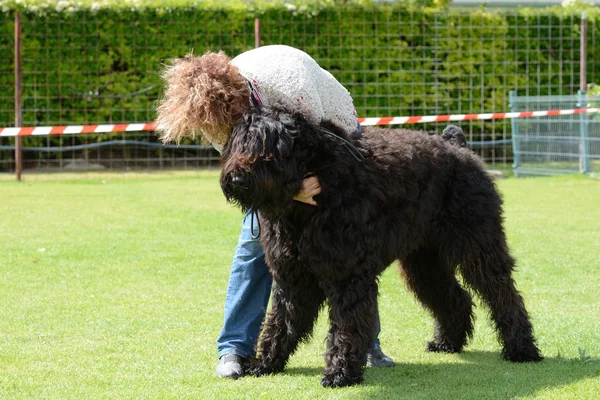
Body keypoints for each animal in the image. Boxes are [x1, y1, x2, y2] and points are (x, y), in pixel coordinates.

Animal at [220, 106, 544, 388]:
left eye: (271, 145)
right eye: (237, 143)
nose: (237, 177)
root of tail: (458, 146)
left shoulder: (347, 277)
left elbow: (346, 326)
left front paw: (340, 373)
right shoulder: (292, 277)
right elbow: (280, 322)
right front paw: (265, 362)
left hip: (479, 246)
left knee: (503, 294)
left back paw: (522, 349)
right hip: (424, 262)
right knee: (454, 297)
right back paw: (447, 342)